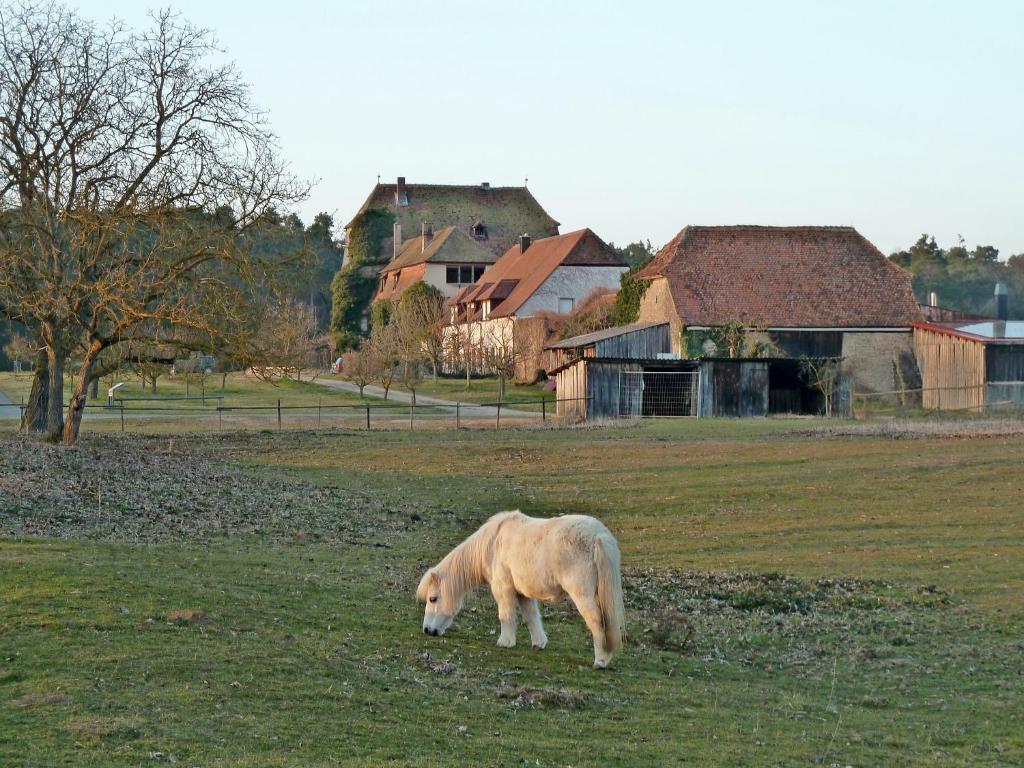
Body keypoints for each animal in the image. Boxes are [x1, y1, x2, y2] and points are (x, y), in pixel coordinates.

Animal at [415, 514, 622, 671]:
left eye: (433, 599)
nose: (427, 630)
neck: (492, 544)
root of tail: (598, 536)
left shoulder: (503, 589)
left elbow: (505, 615)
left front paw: (505, 642)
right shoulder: (523, 594)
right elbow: (531, 617)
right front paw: (539, 643)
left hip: (583, 594)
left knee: (597, 622)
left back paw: (601, 661)